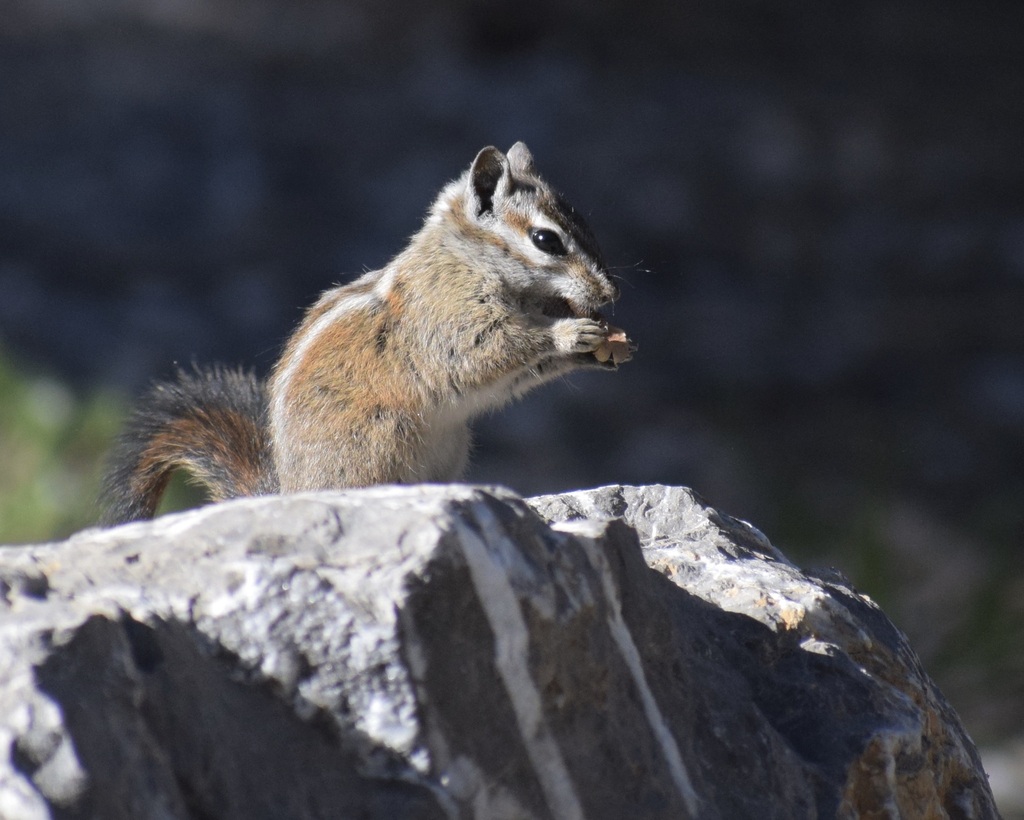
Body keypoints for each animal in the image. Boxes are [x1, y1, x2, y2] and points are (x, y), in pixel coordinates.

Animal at [101, 142, 634, 524]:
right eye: (546, 240)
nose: (609, 293)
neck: (467, 259)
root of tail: (291, 490)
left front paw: (603, 347)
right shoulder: (448, 321)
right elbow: (488, 352)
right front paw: (569, 334)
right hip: (376, 443)